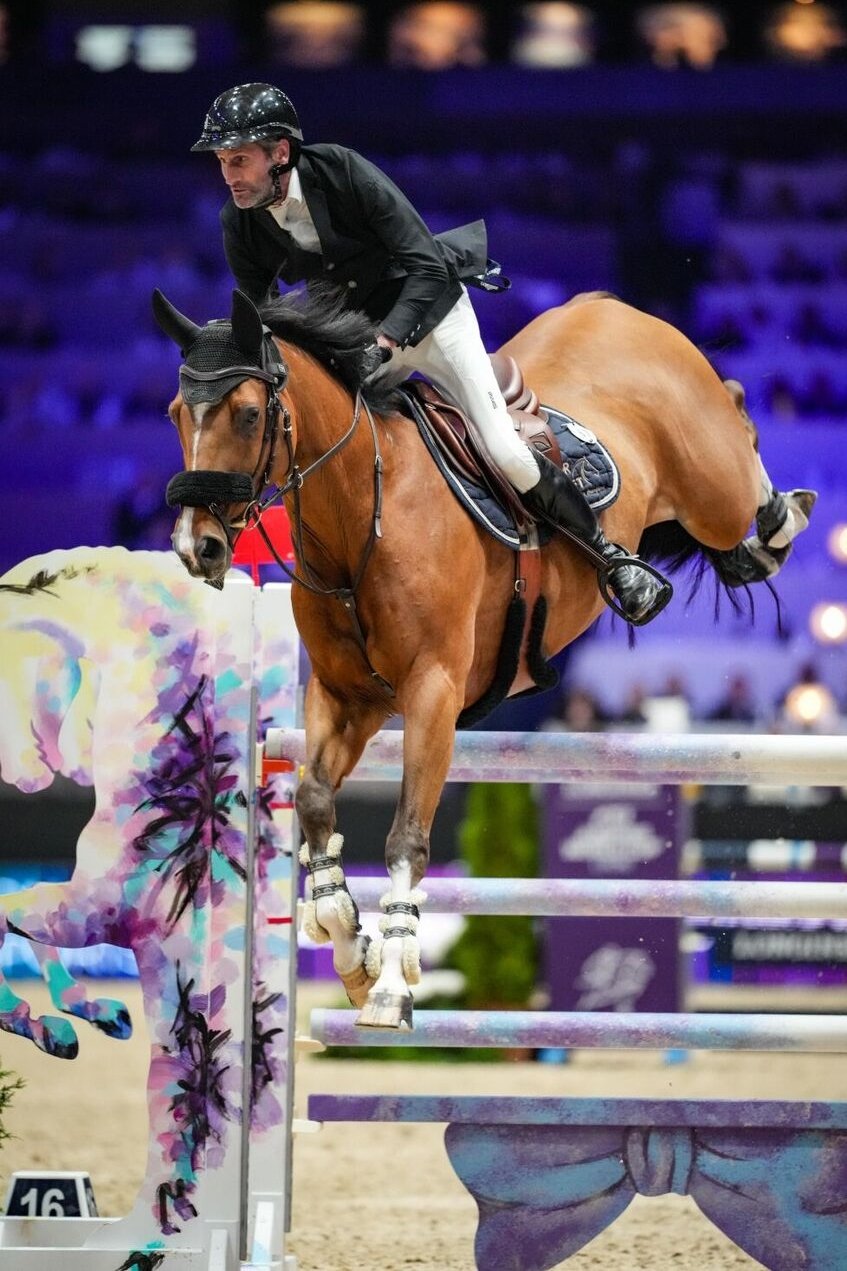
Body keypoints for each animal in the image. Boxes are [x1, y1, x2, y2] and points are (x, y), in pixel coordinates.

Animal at [155, 285, 813, 1032]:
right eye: (176, 413)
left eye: (247, 412)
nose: (197, 547)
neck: (362, 514)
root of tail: (611, 305)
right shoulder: (347, 696)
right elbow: (317, 801)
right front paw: (349, 946)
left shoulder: (432, 692)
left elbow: (406, 836)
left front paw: (391, 984)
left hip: (710, 490)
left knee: (739, 455)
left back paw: (779, 516)